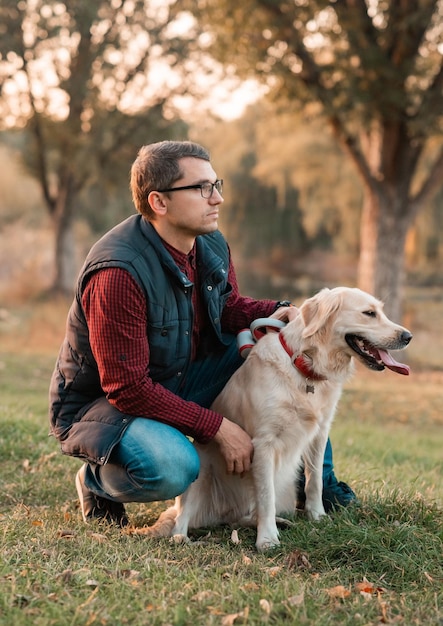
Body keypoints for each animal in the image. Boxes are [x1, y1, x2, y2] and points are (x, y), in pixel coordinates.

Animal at [149, 286, 412, 548]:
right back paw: (183, 538)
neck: (305, 366)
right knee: (182, 519)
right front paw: (266, 539)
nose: (408, 336)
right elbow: (266, 497)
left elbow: (314, 480)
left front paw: (317, 516)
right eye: (369, 313)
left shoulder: (319, 433)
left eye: (380, 311)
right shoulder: (264, 443)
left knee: (246, 516)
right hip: (199, 477)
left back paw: (281, 521)